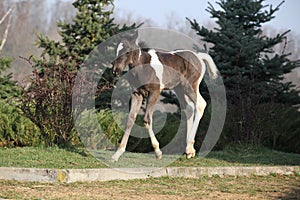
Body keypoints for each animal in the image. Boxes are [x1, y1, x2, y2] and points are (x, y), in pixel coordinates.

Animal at [110, 31, 218, 162]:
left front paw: (158, 152)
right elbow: (130, 120)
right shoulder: (137, 94)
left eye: (127, 50)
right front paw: (117, 154)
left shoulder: (155, 92)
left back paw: (189, 148)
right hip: (180, 89)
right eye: (117, 50)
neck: (143, 66)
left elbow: (147, 120)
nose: (115, 71)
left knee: (201, 104)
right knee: (189, 108)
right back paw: (189, 151)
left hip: (190, 87)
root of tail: (198, 56)